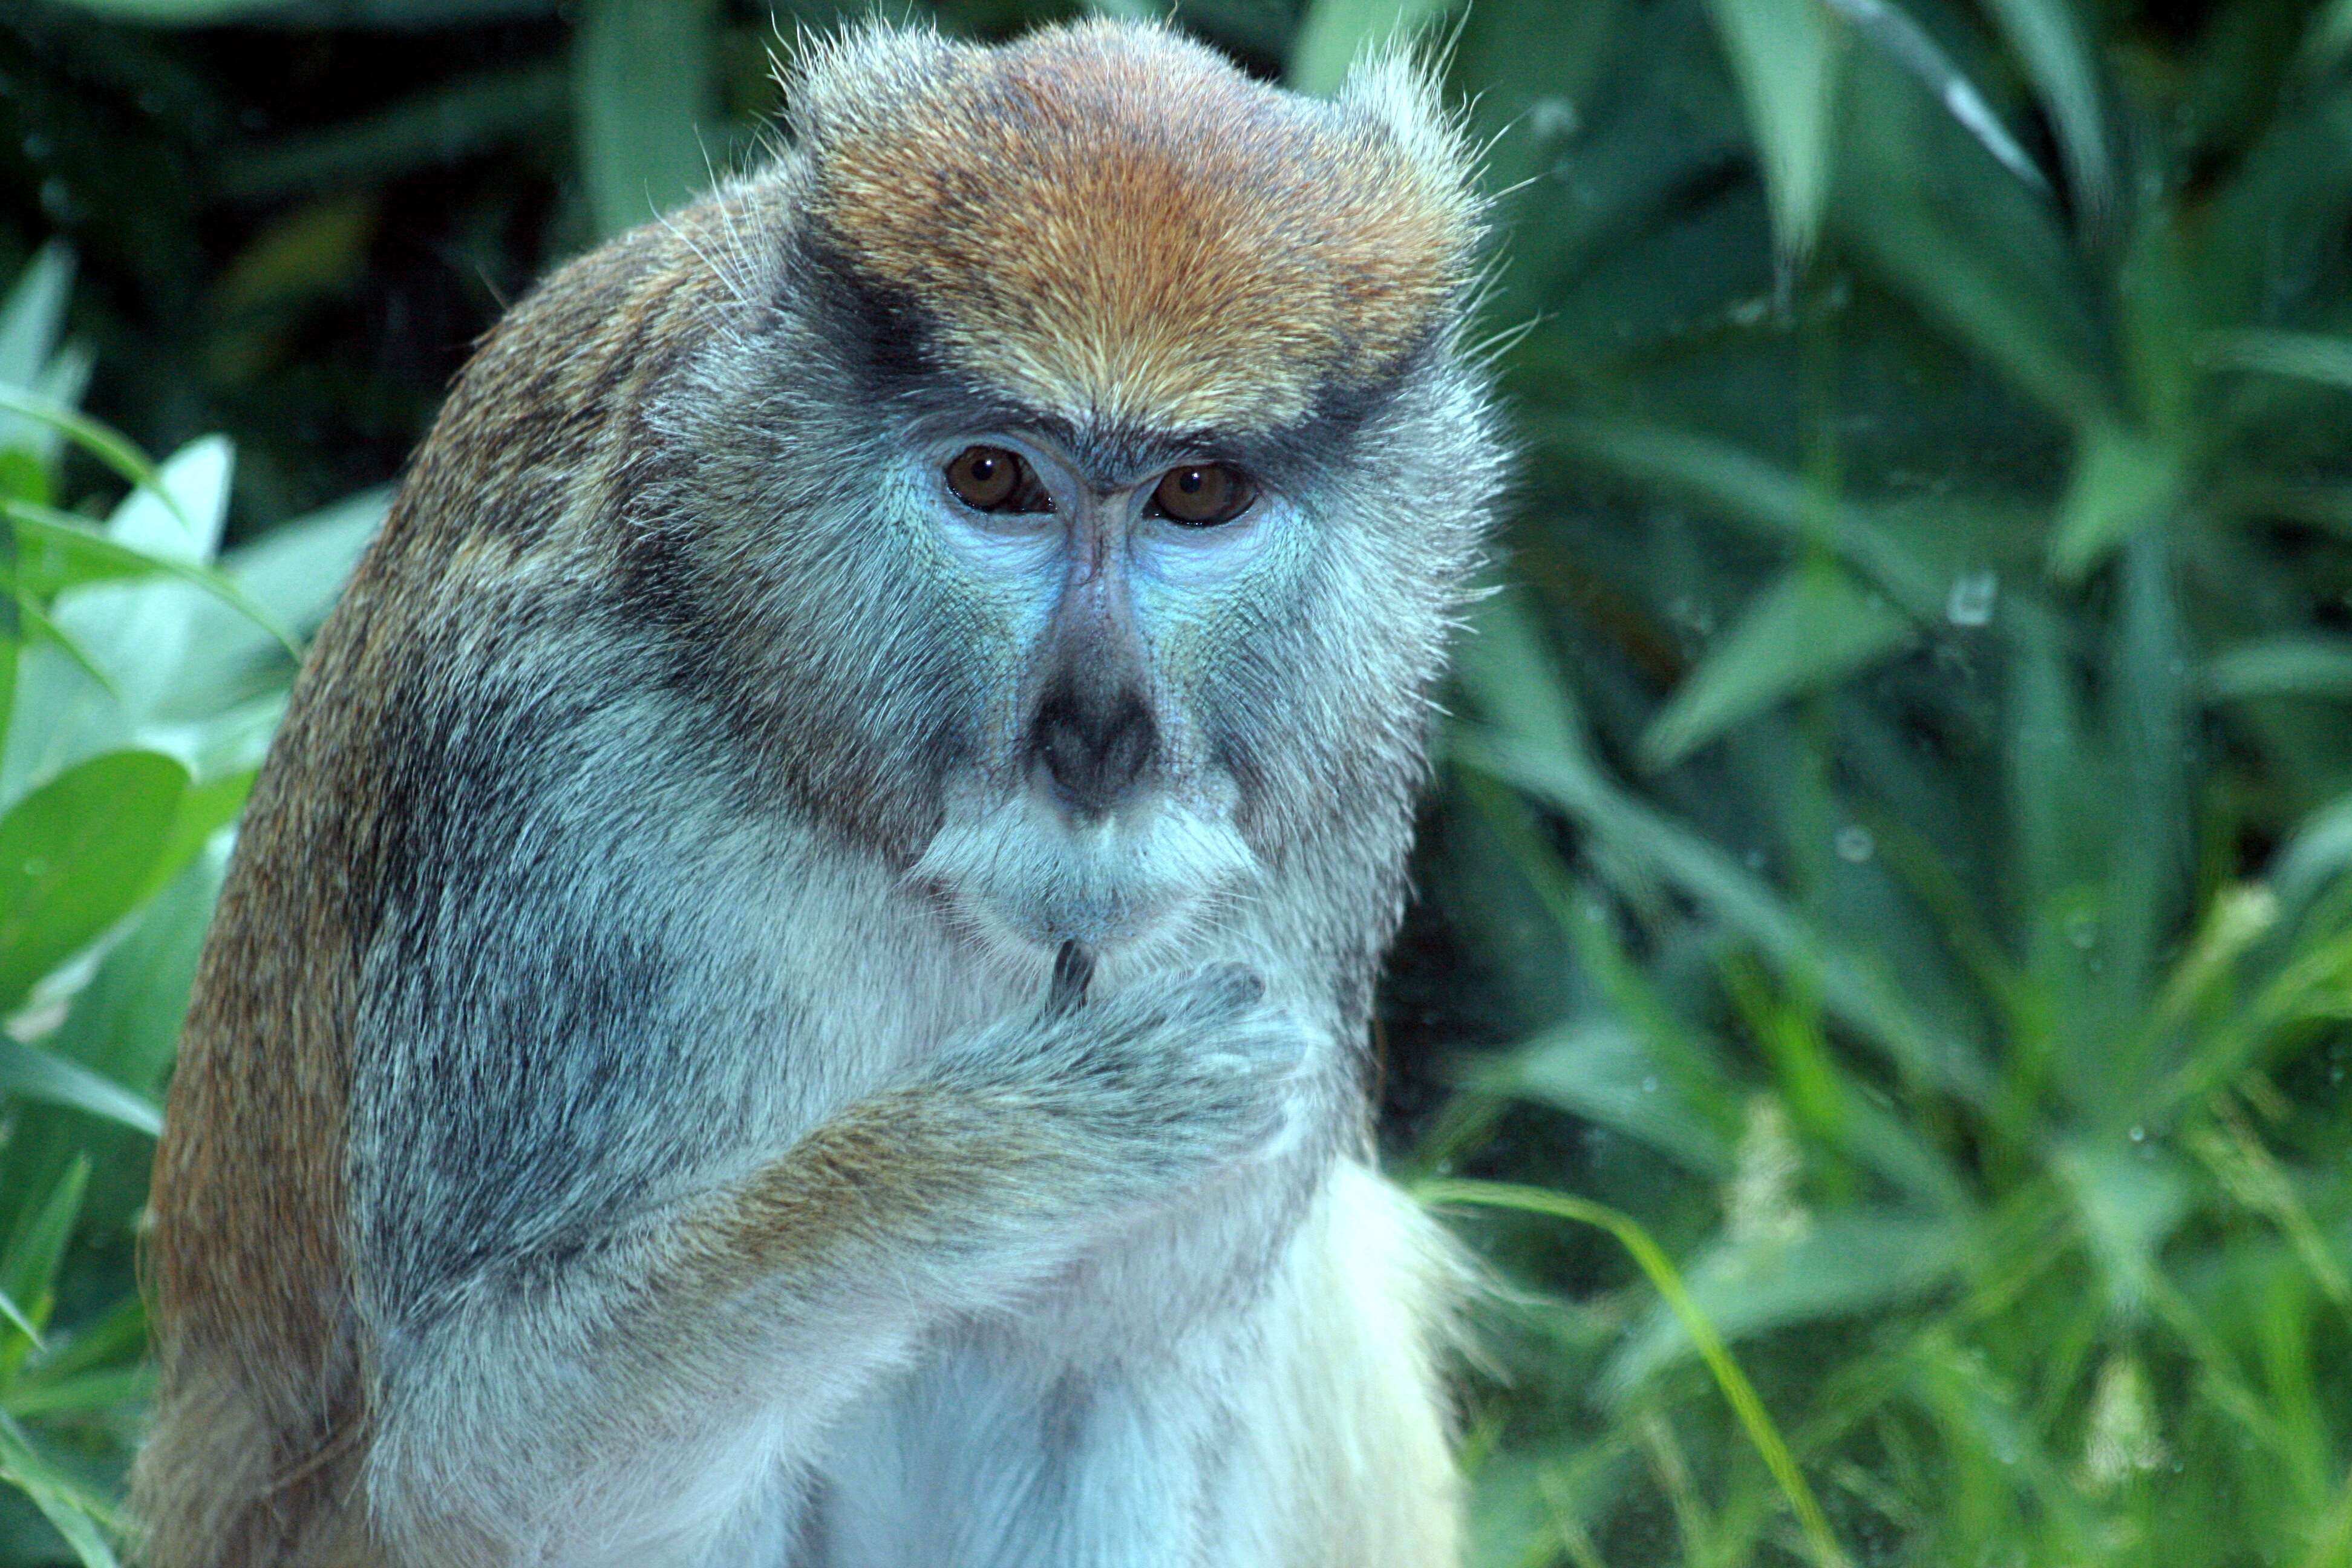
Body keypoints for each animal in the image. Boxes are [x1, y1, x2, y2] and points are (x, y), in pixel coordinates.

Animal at [137, 15, 1505, 1568]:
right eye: (996, 479)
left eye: (1199, 494)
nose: (1097, 738)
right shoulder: (583, 831)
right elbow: (488, 1459)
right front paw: (996, 1155)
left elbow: (1096, 1382)